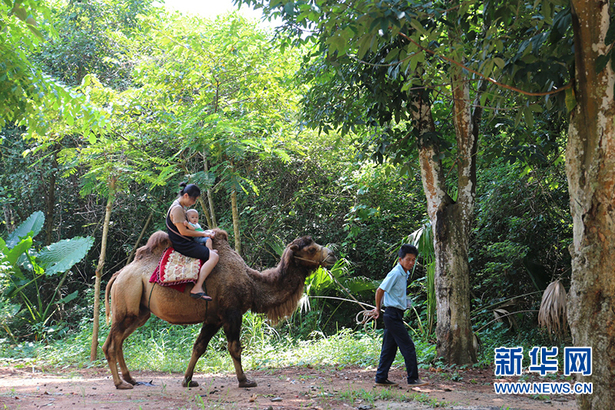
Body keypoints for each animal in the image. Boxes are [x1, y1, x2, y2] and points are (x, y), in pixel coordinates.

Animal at [104, 229, 336, 390]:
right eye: (311, 249)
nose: (332, 254)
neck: (252, 283)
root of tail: (118, 275)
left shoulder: (213, 318)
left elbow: (198, 347)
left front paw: (188, 380)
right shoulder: (231, 313)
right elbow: (235, 348)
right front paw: (244, 380)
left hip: (140, 312)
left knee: (119, 341)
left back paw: (131, 378)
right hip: (127, 301)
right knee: (111, 345)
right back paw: (120, 384)